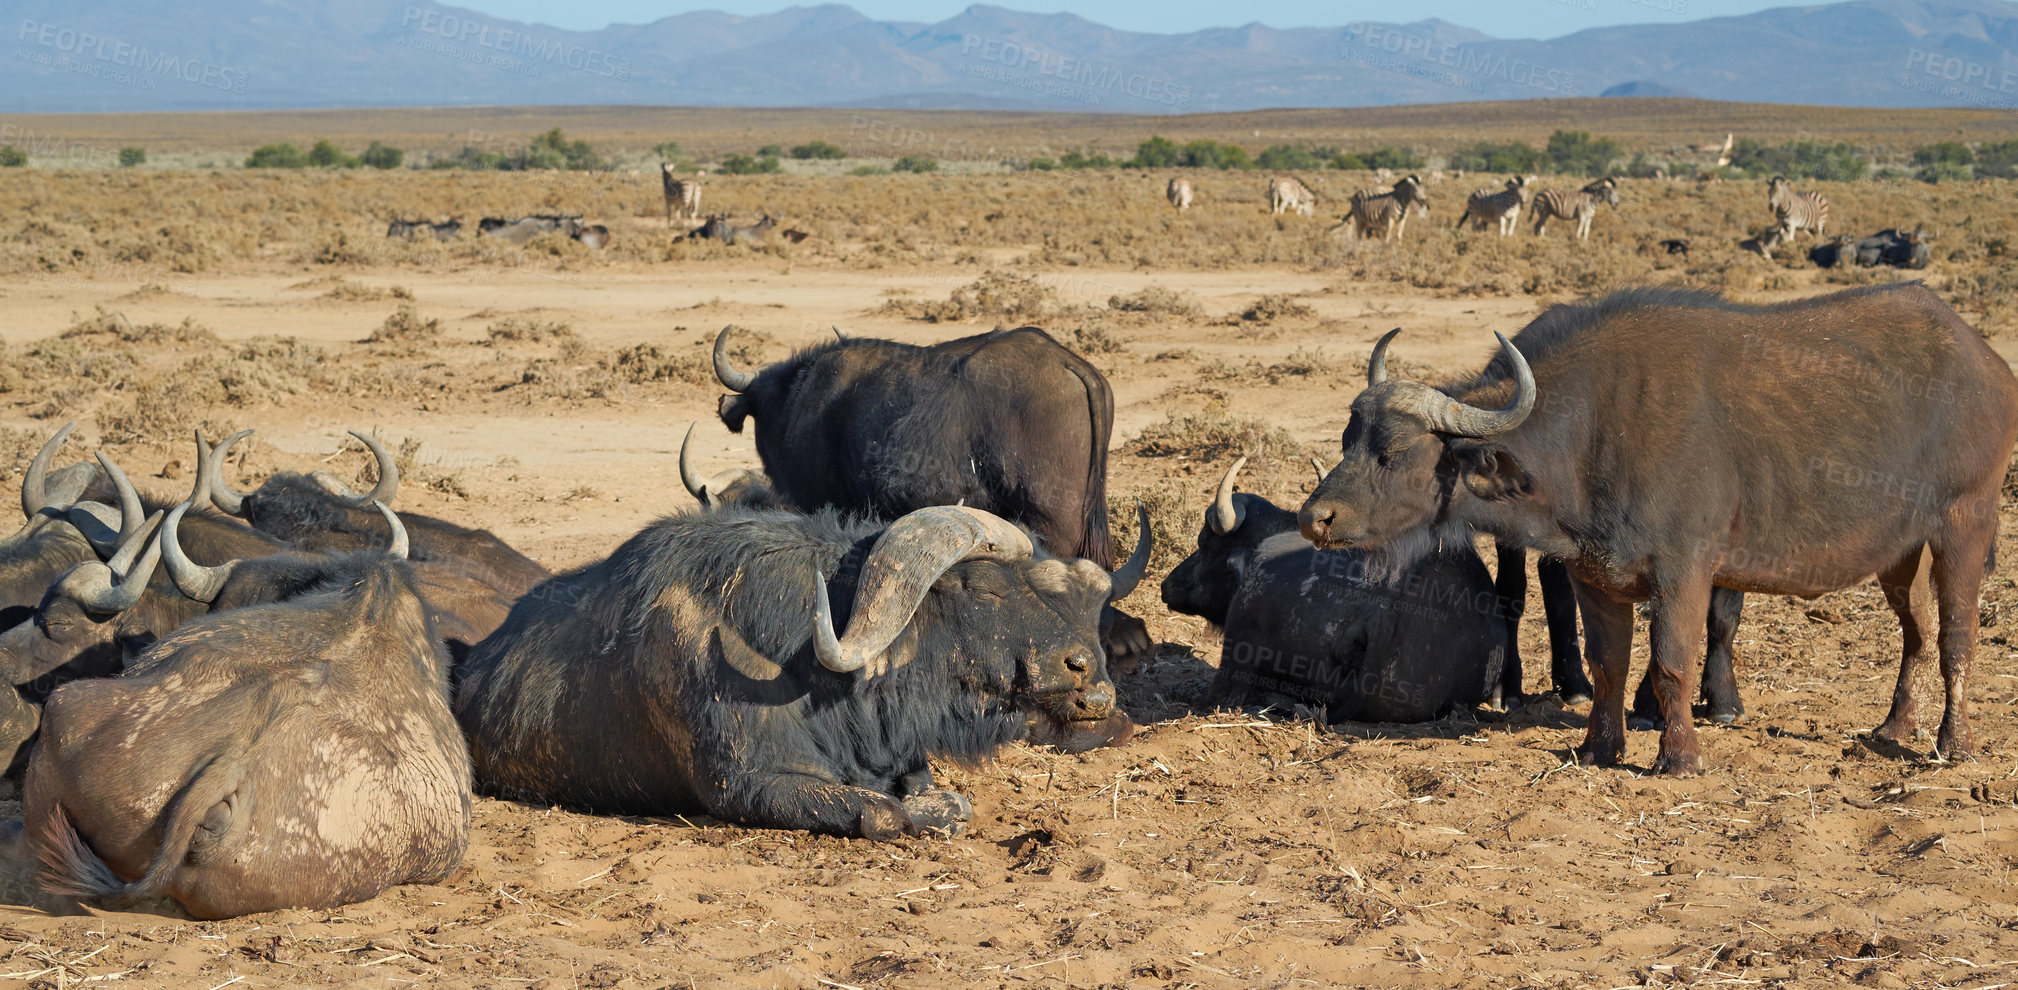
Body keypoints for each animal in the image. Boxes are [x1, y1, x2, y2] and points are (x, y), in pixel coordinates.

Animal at [1299, 282, 2009, 778]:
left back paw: (1953, 743)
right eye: (1348, 440)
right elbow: (1607, 663)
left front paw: (1680, 756)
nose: (1315, 518)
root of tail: (1987, 363)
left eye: (1395, 453)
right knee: (1917, 633)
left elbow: (1671, 663)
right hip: (1900, 553)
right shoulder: (1594, 577)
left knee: (1957, 635)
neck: (1594, 433)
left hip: (1966, 524)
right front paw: (1598, 748)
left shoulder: (1684, 572)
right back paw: (1893, 729)